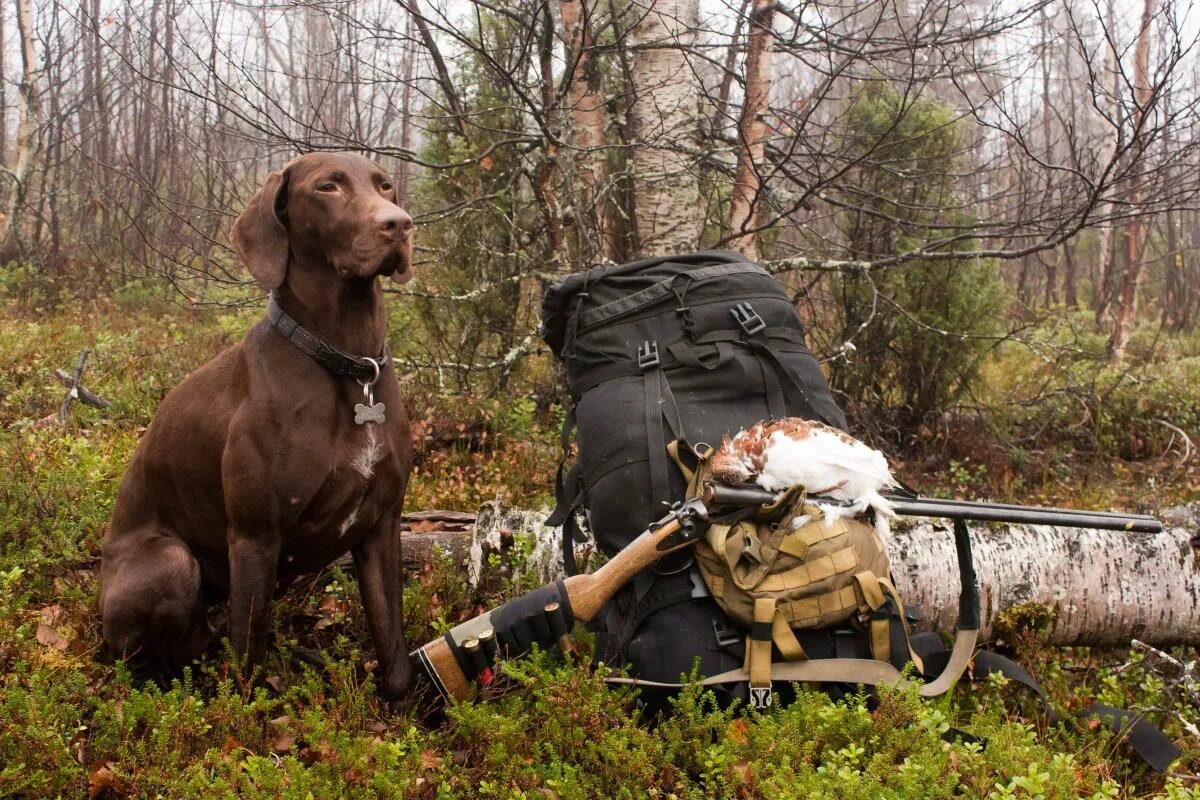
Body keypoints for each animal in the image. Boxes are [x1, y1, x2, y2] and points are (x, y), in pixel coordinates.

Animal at [100, 151, 417, 700]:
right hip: (172, 565)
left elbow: (394, 654)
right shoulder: (255, 537)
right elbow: (247, 665)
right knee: (142, 659)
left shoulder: (381, 527)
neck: (347, 366)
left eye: (385, 186)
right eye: (328, 187)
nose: (398, 225)